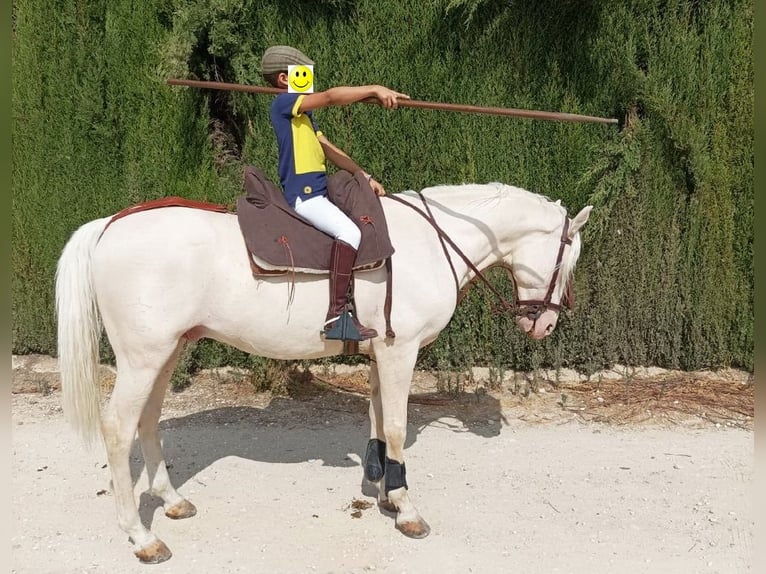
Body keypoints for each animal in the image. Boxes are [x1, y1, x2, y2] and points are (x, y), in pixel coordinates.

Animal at [57, 182, 592, 564]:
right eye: (569, 256)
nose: (545, 323)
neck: (426, 243)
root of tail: (110, 225)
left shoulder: (381, 356)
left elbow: (379, 424)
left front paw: (386, 494)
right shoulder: (400, 352)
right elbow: (396, 428)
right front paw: (407, 509)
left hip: (165, 353)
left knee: (147, 420)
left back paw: (171, 499)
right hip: (143, 357)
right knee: (118, 428)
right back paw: (141, 537)